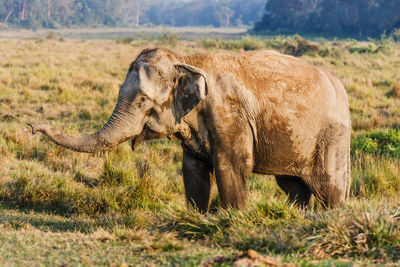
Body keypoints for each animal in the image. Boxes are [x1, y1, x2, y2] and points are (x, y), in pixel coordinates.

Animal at [29, 47, 352, 213]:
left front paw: (233, 220)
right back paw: (295, 215)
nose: (33, 126)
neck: (187, 59)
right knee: (293, 187)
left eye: (143, 100)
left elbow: (232, 166)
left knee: (329, 188)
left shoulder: (228, 115)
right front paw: (198, 217)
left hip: (332, 137)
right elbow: (192, 169)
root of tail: (340, 84)